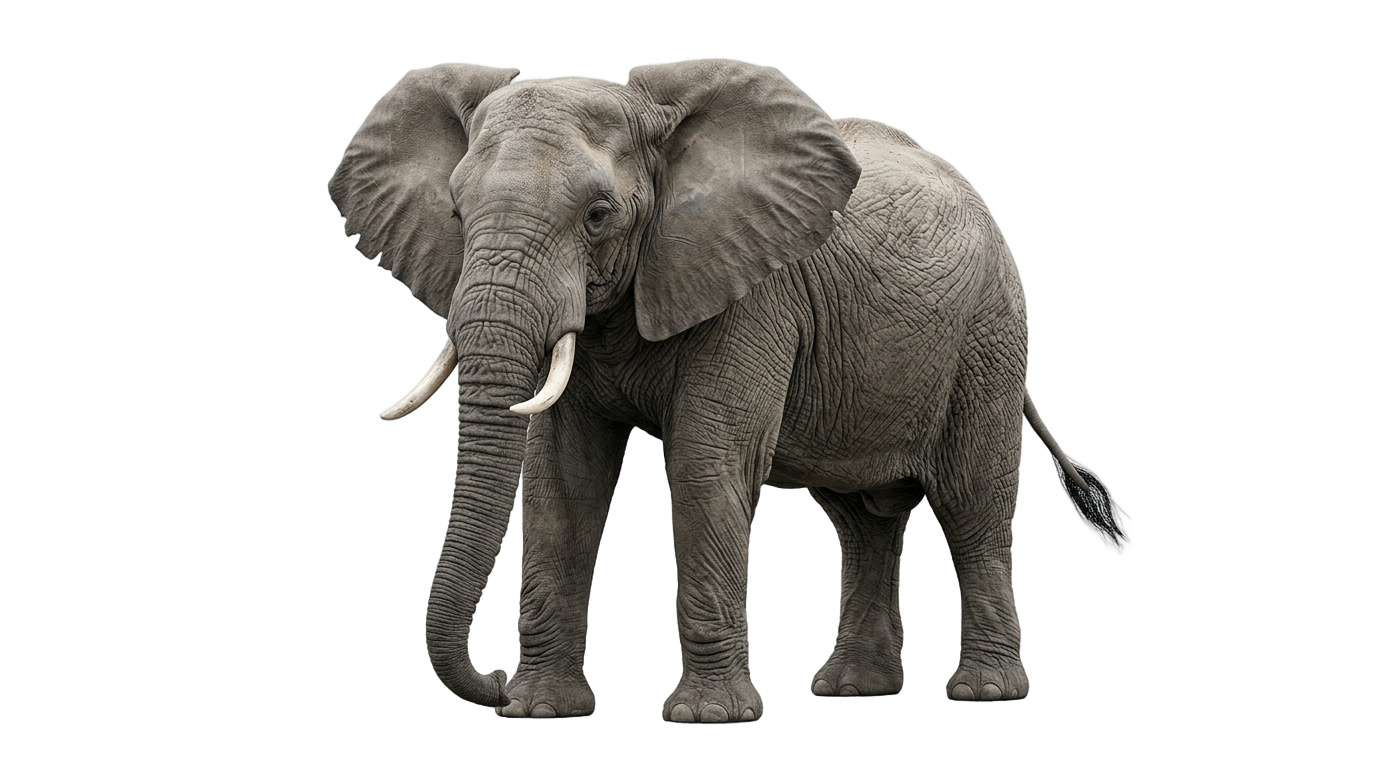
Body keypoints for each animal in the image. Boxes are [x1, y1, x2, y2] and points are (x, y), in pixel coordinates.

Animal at [326, 59, 1122, 723]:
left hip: (987, 338)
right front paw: (542, 712)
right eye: (457, 215)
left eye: (598, 215)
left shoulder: (756, 291)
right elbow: (561, 482)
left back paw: (985, 697)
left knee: (970, 506)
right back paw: (854, 693)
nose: (487, 690)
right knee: (860, 520)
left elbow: (709, 465)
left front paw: (708, 719)